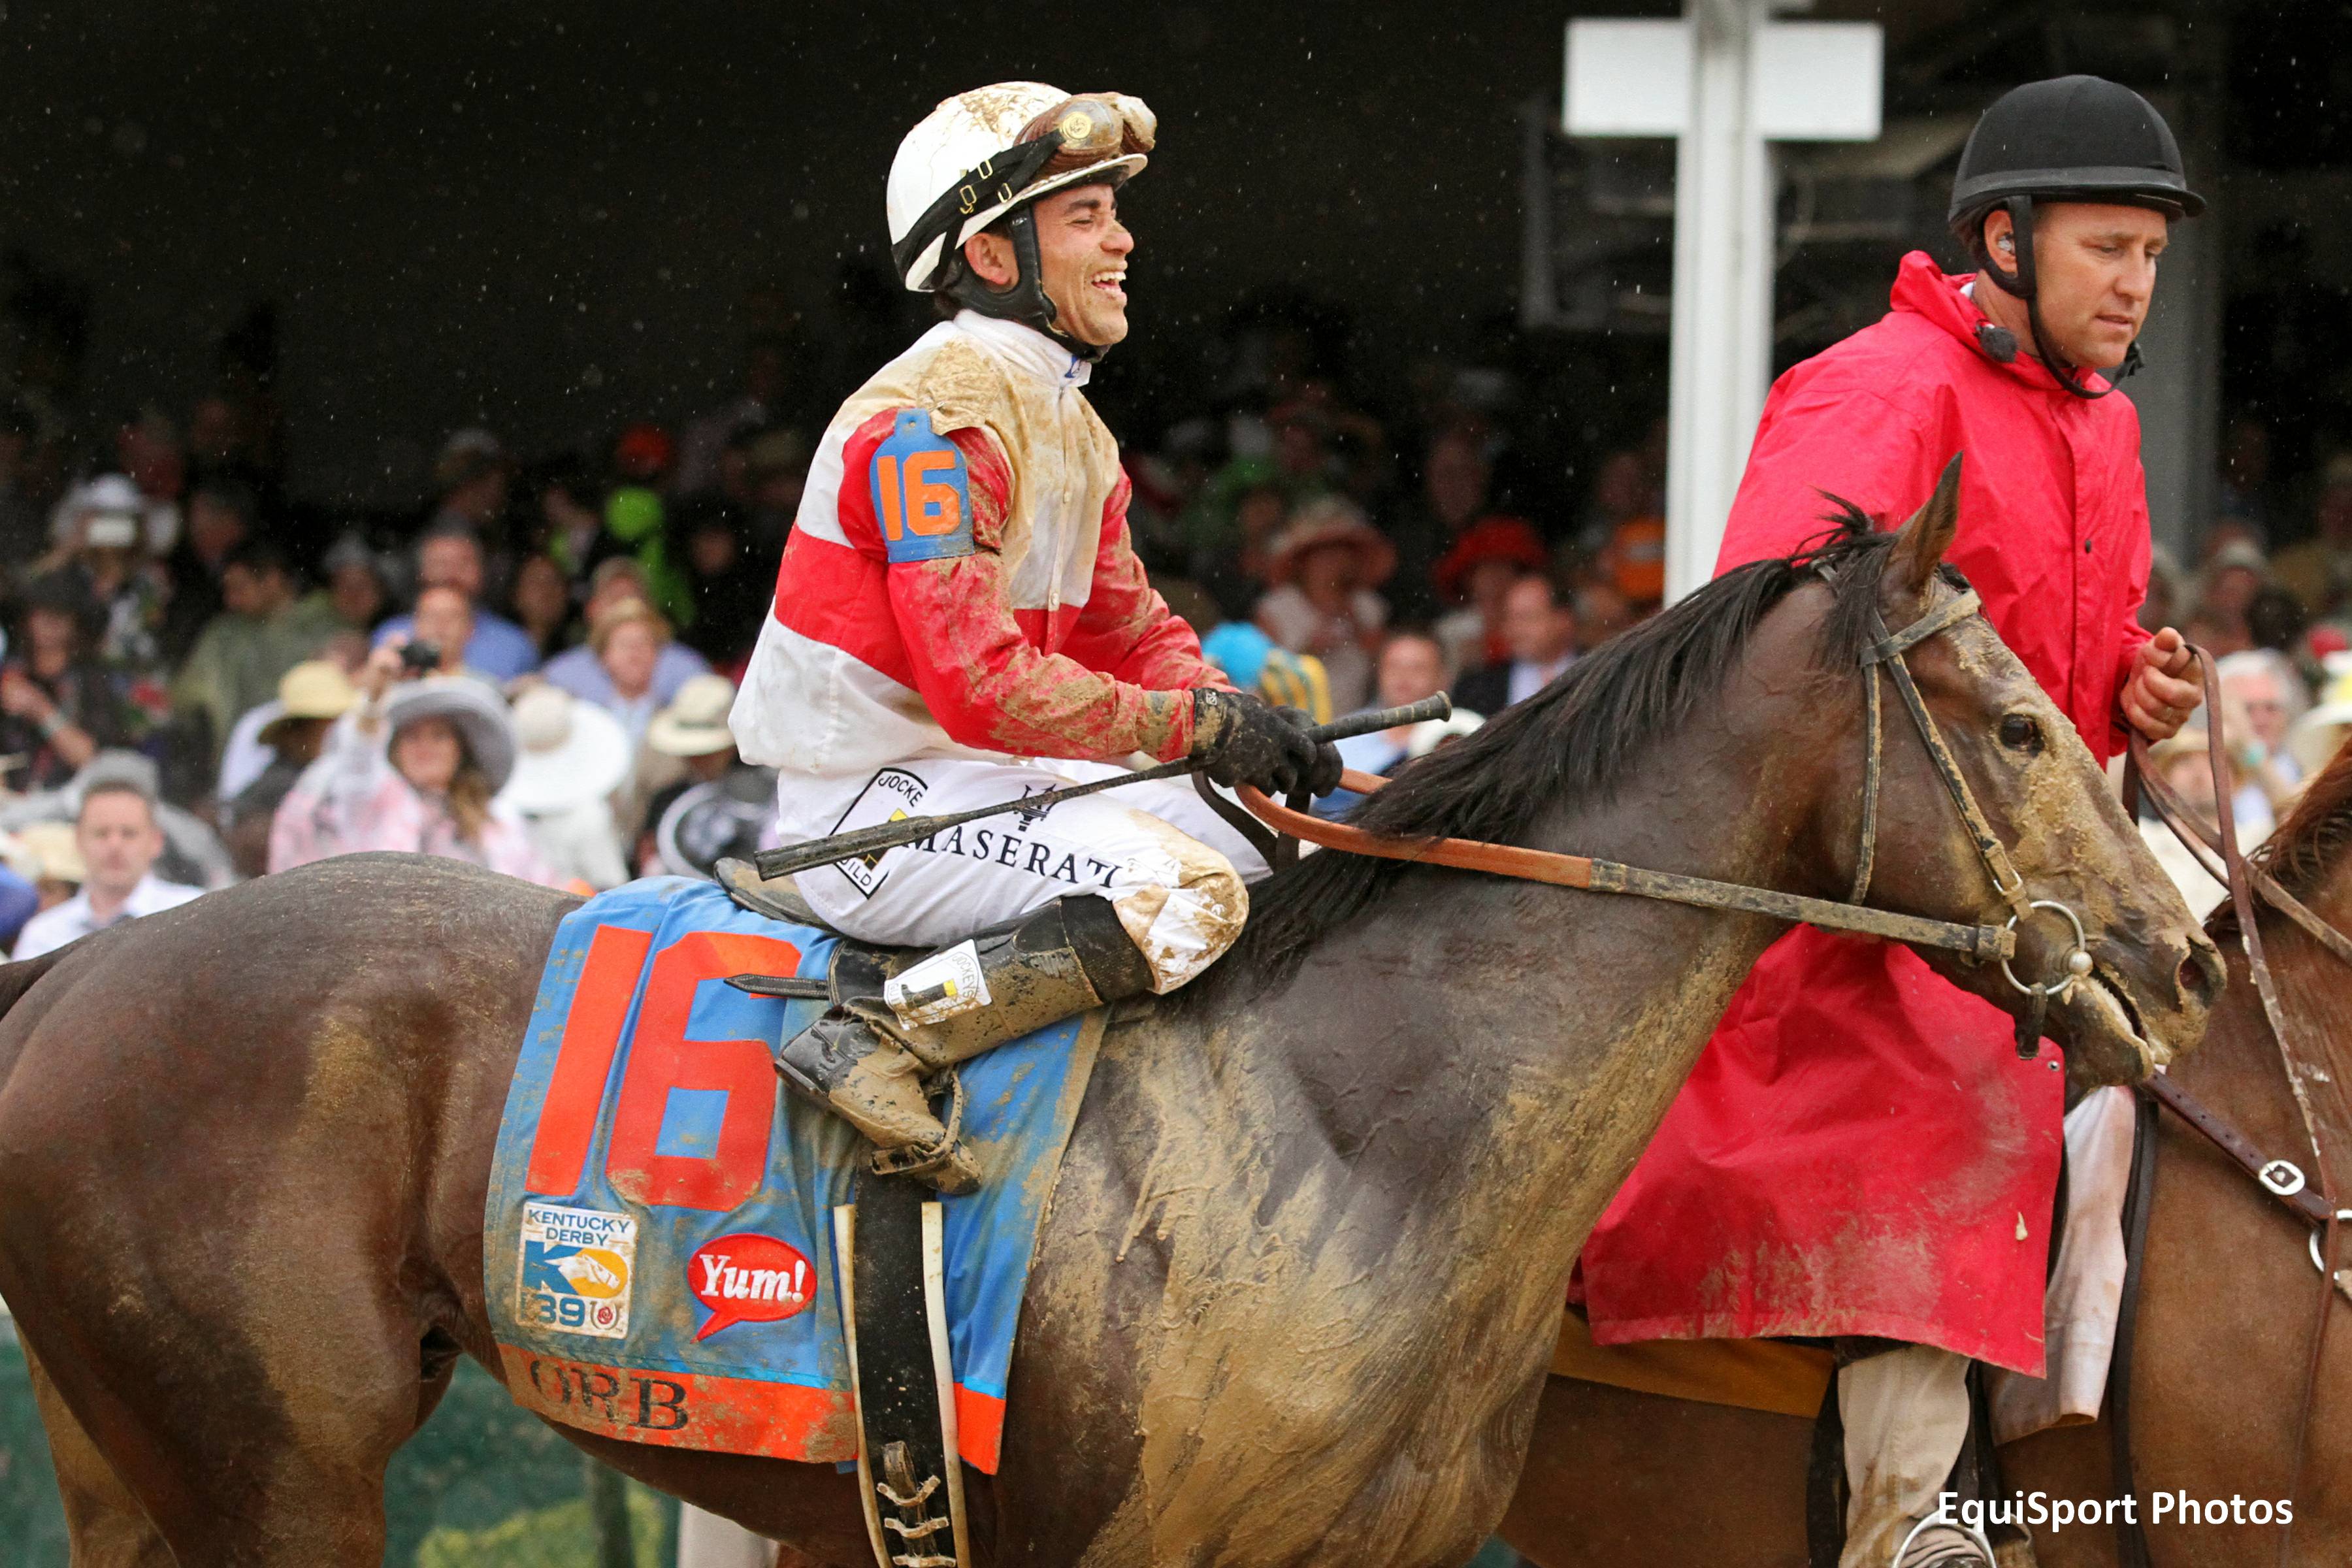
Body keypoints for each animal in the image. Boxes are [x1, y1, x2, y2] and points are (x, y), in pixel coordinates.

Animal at [0, 484, 2220, 1561]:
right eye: (2018, 724)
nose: (2178, 957)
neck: (1356, 1133)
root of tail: (82, 964)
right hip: (278, 1472)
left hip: (135, 1465)